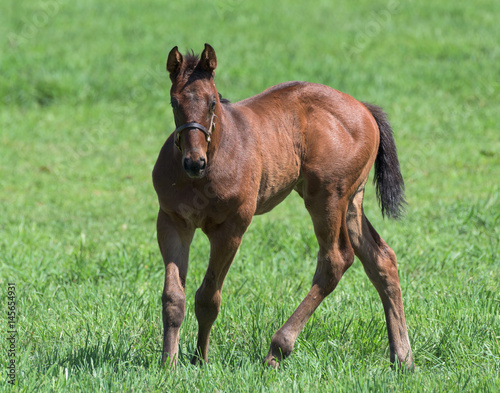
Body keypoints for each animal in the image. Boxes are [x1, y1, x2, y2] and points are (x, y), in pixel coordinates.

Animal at [152, 44, 414, 370]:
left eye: (212, 102)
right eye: (174, 102)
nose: (193, 162)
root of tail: (365, 108)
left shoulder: (231, 229)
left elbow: (208, 298)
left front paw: (200, 359)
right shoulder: (173, 222)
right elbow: (174, 298)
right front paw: (169, 363)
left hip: (327, 198)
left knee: (336, 260)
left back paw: (277, 349)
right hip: (352, 201)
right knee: (381, 258)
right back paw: (402, 357)